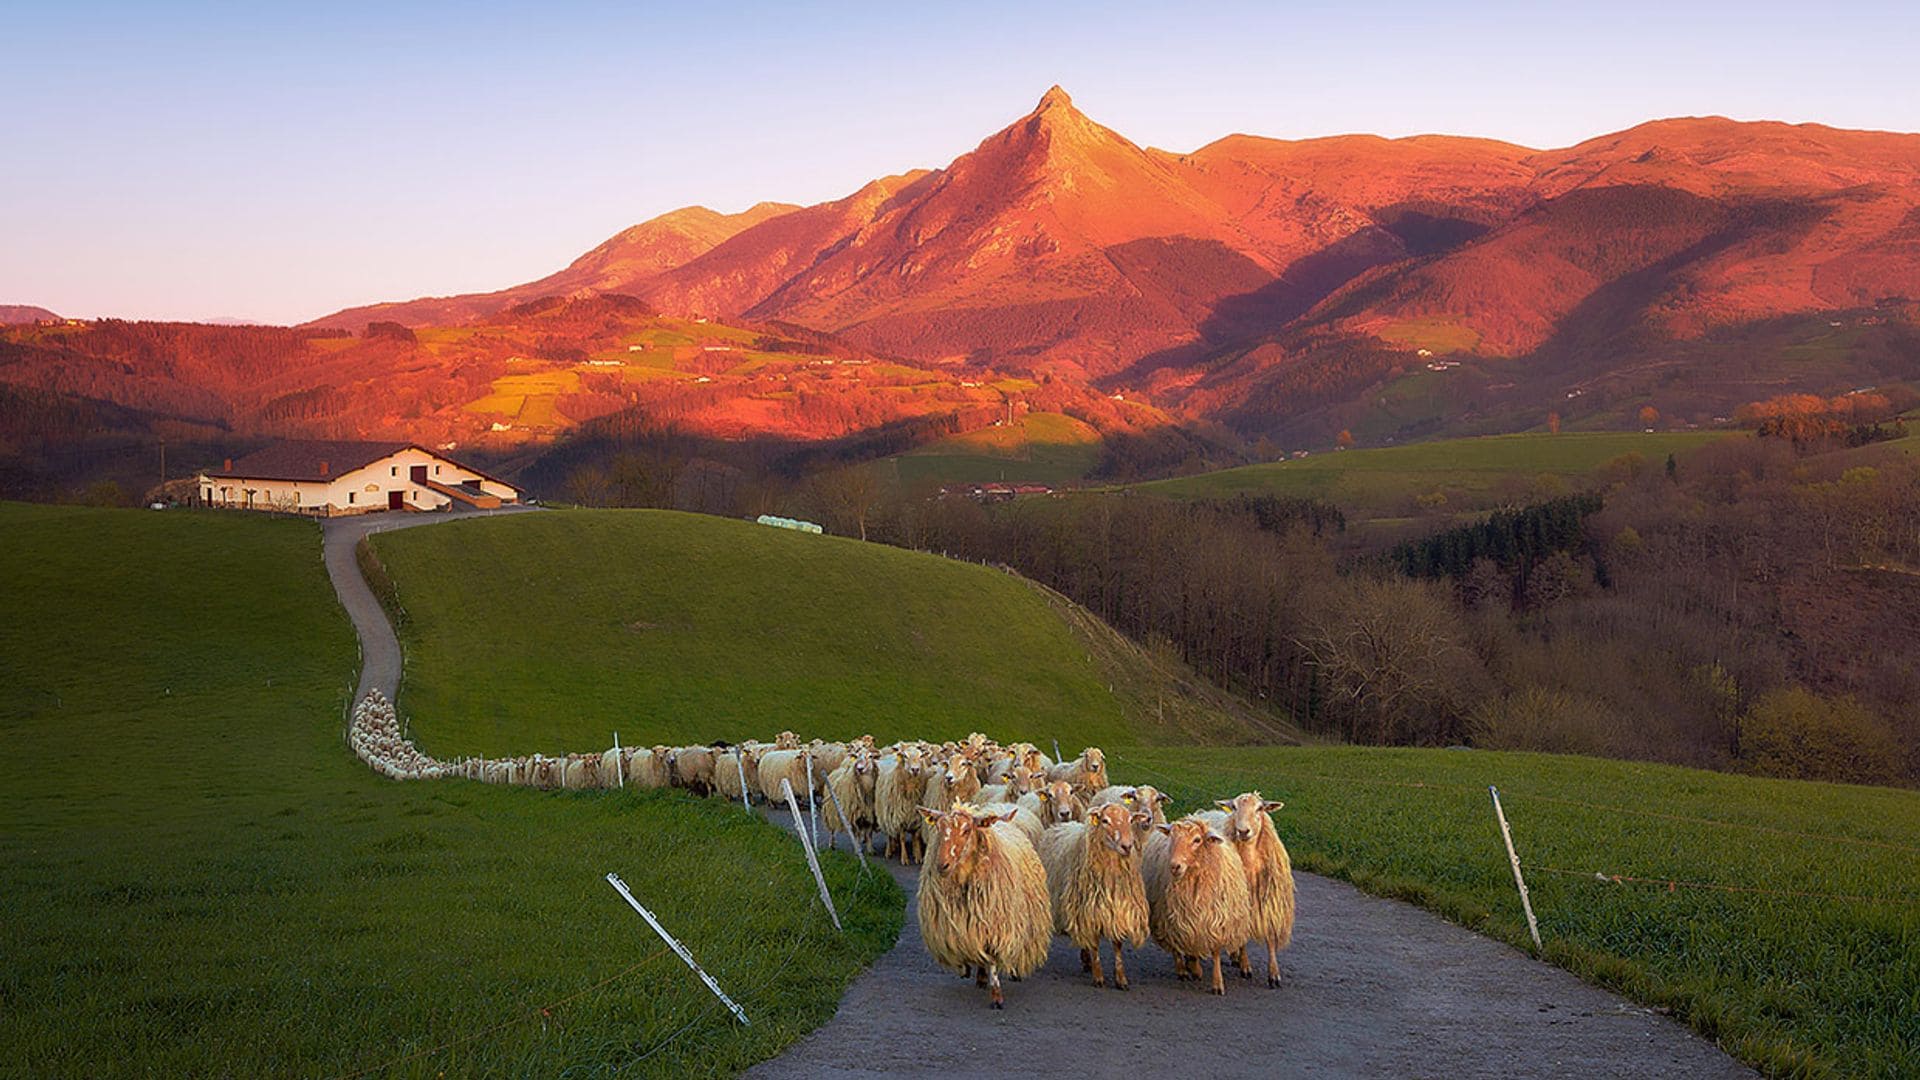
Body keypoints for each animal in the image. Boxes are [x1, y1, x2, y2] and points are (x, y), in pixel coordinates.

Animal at [913, 803, 1052, 1006]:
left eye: (966, 830)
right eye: (939, 828)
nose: (942, 865)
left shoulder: (996, 925)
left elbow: (993, 959)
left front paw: (996, 996)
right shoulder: (966, 924)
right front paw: (969, 971)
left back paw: (1012, 972)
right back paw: (980, 976)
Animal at [1044, 799, 1144, 983]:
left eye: (1130, 821)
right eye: (1105, 821)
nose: (1127, 846)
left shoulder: (1118, 908)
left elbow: (1117, 943)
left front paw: (1121, 978)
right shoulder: (1088, 908)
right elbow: (1094, 942)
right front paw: (1098, 976)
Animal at [1136, 810, 1259, 991]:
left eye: (1197, 840)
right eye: (1172, 837)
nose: (1175, 866)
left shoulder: (1216, 918)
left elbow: (1215, 950)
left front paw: (1217, 983)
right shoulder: (1178, 918)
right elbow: (1182, 945)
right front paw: (1191, 969)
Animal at [1205, 780, 1297, 983]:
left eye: (1260, 808)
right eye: (1234, 807)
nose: (1243, 831)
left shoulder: (1270, 901)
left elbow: (1270, 937)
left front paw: (1274, 973)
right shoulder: (1241, 902)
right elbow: (1243, 938)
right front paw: (1246, 966)